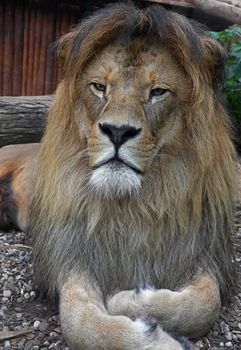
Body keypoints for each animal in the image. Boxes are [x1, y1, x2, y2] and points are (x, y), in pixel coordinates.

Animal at [0, 2, 237, 350]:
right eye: (99, 87)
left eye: (158, 92)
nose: (117, 131)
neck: (133, 207)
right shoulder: (73, 257)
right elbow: (81, 324)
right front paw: (154, 337)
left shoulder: (200, 254)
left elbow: (204, 303)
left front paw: (130, 299)